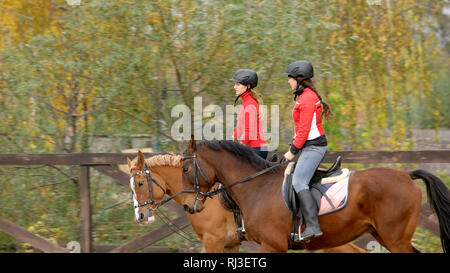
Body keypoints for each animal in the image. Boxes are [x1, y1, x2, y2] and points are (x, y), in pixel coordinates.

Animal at [180, 139, 450, 252]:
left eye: (185, 169)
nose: (188, 206)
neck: (257, 185)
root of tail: (407, 176)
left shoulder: (272, 245)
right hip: (385, 236)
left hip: (395, 240)